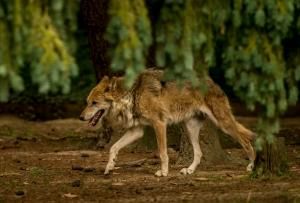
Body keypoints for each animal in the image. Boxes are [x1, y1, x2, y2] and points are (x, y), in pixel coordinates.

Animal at [79, 68, 255, 176]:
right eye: (87, 102)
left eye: (94, 103)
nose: (80, 117)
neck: (131, 94)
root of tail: (213, 82)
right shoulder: (137, 131)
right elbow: (113, 148)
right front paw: (110, 166)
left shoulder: (159, 124)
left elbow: (163, 153)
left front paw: (163, 172)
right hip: (190, 129)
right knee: (199, 153)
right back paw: (189, 170)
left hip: (223, 124)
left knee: (246, 141)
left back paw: (251, 166)